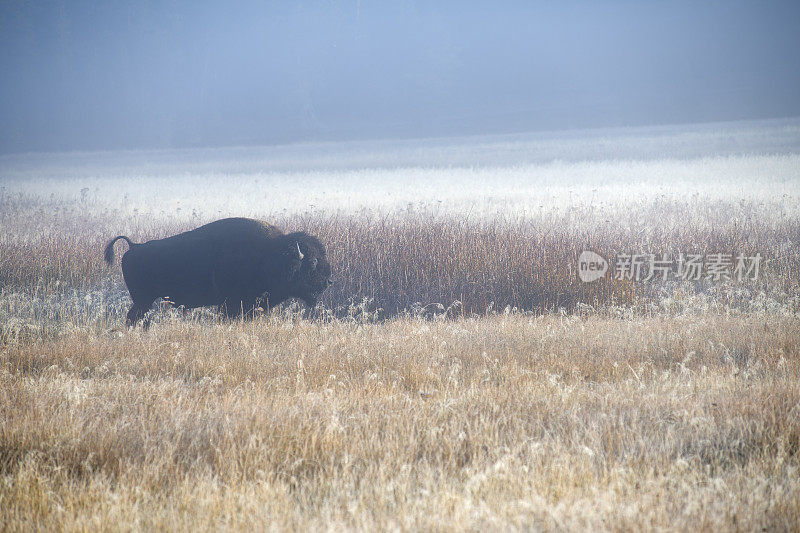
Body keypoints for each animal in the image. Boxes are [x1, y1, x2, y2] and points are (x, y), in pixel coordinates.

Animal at [104, 216, 332, 324]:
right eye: (312, 263)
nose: (328, 282)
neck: (270, 254)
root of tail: (134, 246)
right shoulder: (230, 305)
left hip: (145, 301)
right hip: (143, 300)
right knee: (133, 318)